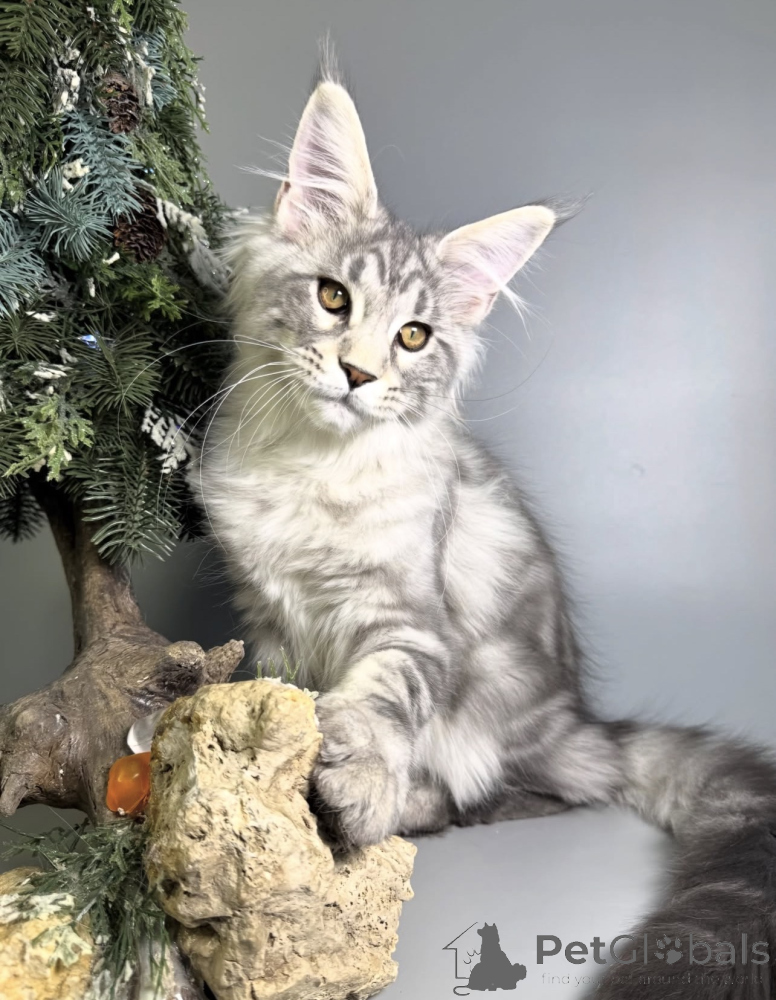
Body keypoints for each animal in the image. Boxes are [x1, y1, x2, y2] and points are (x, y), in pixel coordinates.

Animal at [194, 60, 776, 998]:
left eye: (413, 336)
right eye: (332, 297)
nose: (358, 373)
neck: (313, 469)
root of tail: (585, 721)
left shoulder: (412, 619)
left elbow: (379, 697)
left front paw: (358, 780)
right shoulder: (269, 620)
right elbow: (286, 699)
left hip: (501, 711)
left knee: (521, 794)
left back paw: (407, 805)